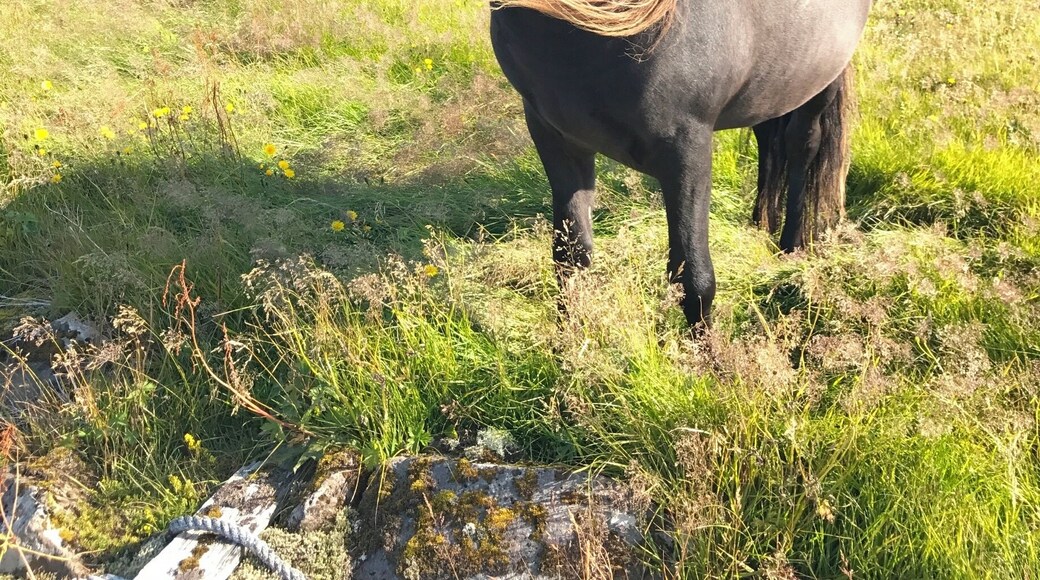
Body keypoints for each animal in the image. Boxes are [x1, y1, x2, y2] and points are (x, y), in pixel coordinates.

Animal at [489, 0, 873, 327]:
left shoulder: (687, 153)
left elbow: (694, 281)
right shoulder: (557, 140)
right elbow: (571, 257)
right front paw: (568, 347)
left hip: (820, 78)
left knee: (801, 145)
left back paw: (791, 248)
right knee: (768, 135)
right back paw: (760, 222)